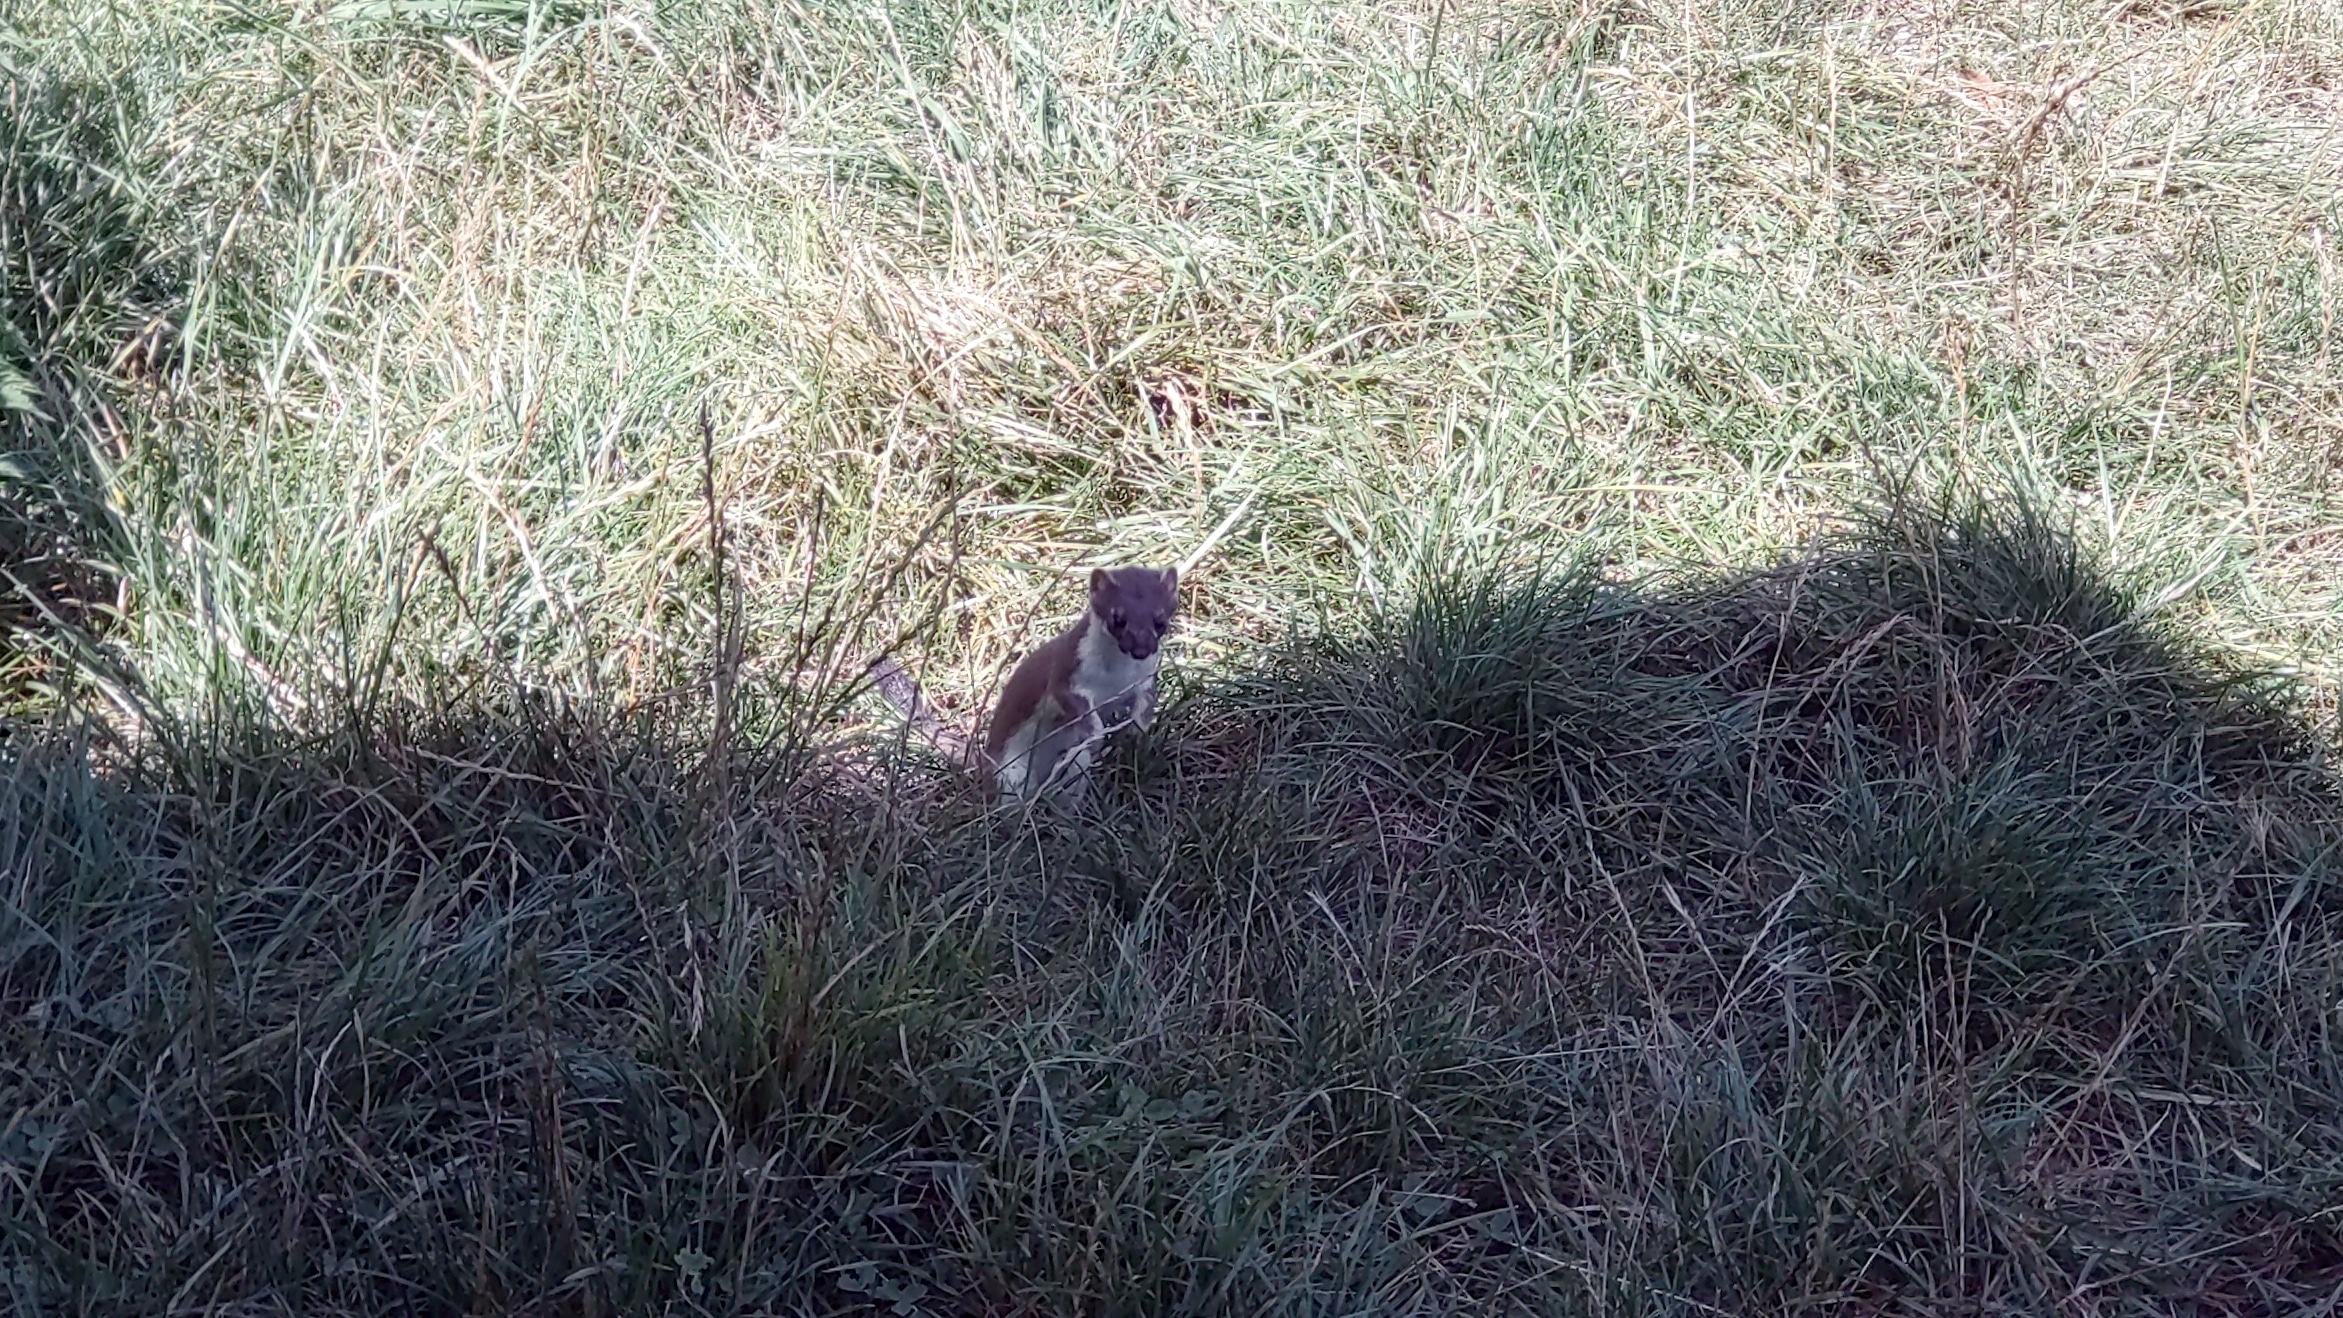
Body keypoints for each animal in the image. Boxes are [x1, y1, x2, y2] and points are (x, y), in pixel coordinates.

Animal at [871, 566, 1180, 805]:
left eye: (1160, 620)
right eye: (1118, 618)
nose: (1141, 648)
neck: (1114, 679)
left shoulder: (1145, 679)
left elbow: (1144, 706)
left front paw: (1136, 734)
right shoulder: (1066, 673)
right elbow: (1078, 707)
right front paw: (1097, 733)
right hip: (1010, 772)